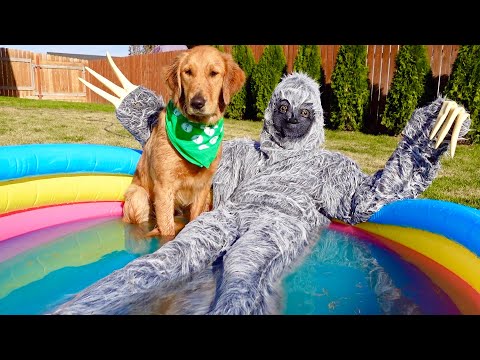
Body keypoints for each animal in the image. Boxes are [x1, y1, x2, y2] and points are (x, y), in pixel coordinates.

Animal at [122, 46, 246, 240]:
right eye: (188, 72)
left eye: (214, 73)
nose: (197, 102)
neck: (196, 135)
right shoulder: (164, 187)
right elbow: (167, 229)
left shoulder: (203, 187)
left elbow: (194, 221)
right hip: (138, 196)